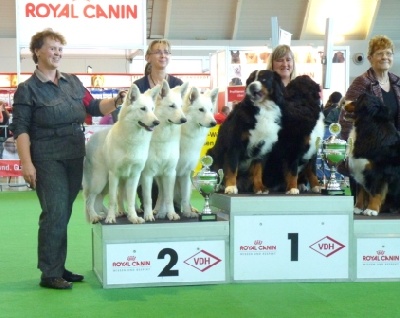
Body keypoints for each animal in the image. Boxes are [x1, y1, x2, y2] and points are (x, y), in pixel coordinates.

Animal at [82, 83, 160, 225]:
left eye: (152, 109)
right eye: (143, 109)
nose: (157, 122)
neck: (132, 139)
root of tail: (90, 140)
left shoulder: (134, 176)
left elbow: (130, 199)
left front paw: (133, 217)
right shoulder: (115, 174)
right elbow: (113, 199)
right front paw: (110, 219)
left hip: (106, 184)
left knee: (99, 200)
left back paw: (111, 214)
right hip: (99, 181)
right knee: (90, 199)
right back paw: (96, 216)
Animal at [141, 79, 189, 221]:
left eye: (180, 106)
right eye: (172, 106)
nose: (184, 120)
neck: (163, 139)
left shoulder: (169, 173)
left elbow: (168, 197)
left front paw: (171, 213)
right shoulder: (147, 174)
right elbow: (148, 198)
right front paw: (148, 215)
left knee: (162, 194)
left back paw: (161, 211)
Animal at [175, 86, 219, 219]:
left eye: (211, 110)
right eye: (201, 110)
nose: (214, 123)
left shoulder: (186, 171)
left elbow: (185, 196)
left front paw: (187, 212)